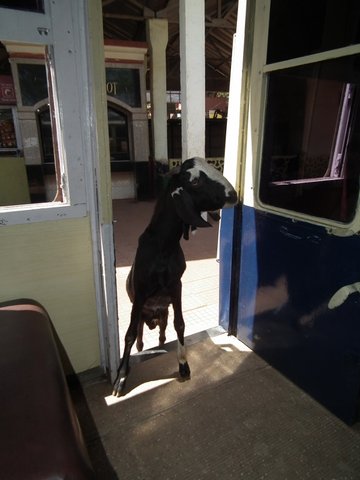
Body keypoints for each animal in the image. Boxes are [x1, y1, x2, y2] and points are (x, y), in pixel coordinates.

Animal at [112, 156, 236, 396]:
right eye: (195, 181)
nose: (233, 194)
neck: (163, 247)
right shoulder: (141, 291)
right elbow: (129, 335)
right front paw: (121, 377)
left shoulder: (176, 286)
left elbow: (180, 325)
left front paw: (183, 365)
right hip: (141, 314)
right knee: (139, 338)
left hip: (163, 316)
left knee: (162, 336)